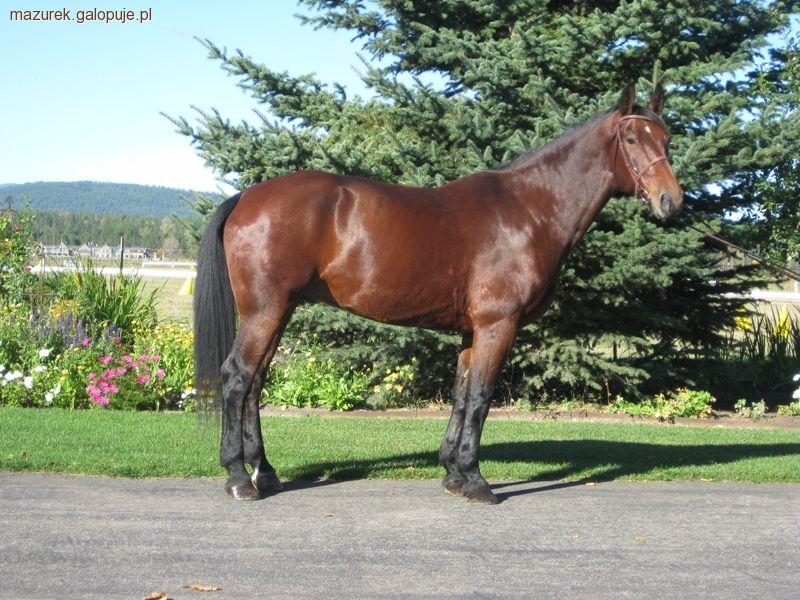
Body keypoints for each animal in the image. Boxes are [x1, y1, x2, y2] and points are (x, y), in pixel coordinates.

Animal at [194, 83, 683, 504]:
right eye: (631, 138)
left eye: (667, 137)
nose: (671, 201)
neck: (528, 210)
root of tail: (246, 197)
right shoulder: (498, 325)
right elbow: (482, 397)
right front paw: (477, 482)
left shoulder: (473, 330)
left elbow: (462, 394)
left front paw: (454, 472)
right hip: (265, 311)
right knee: (237, 378)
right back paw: (238, 477)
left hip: (279, 311)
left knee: (255, 383)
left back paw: (265, 472)